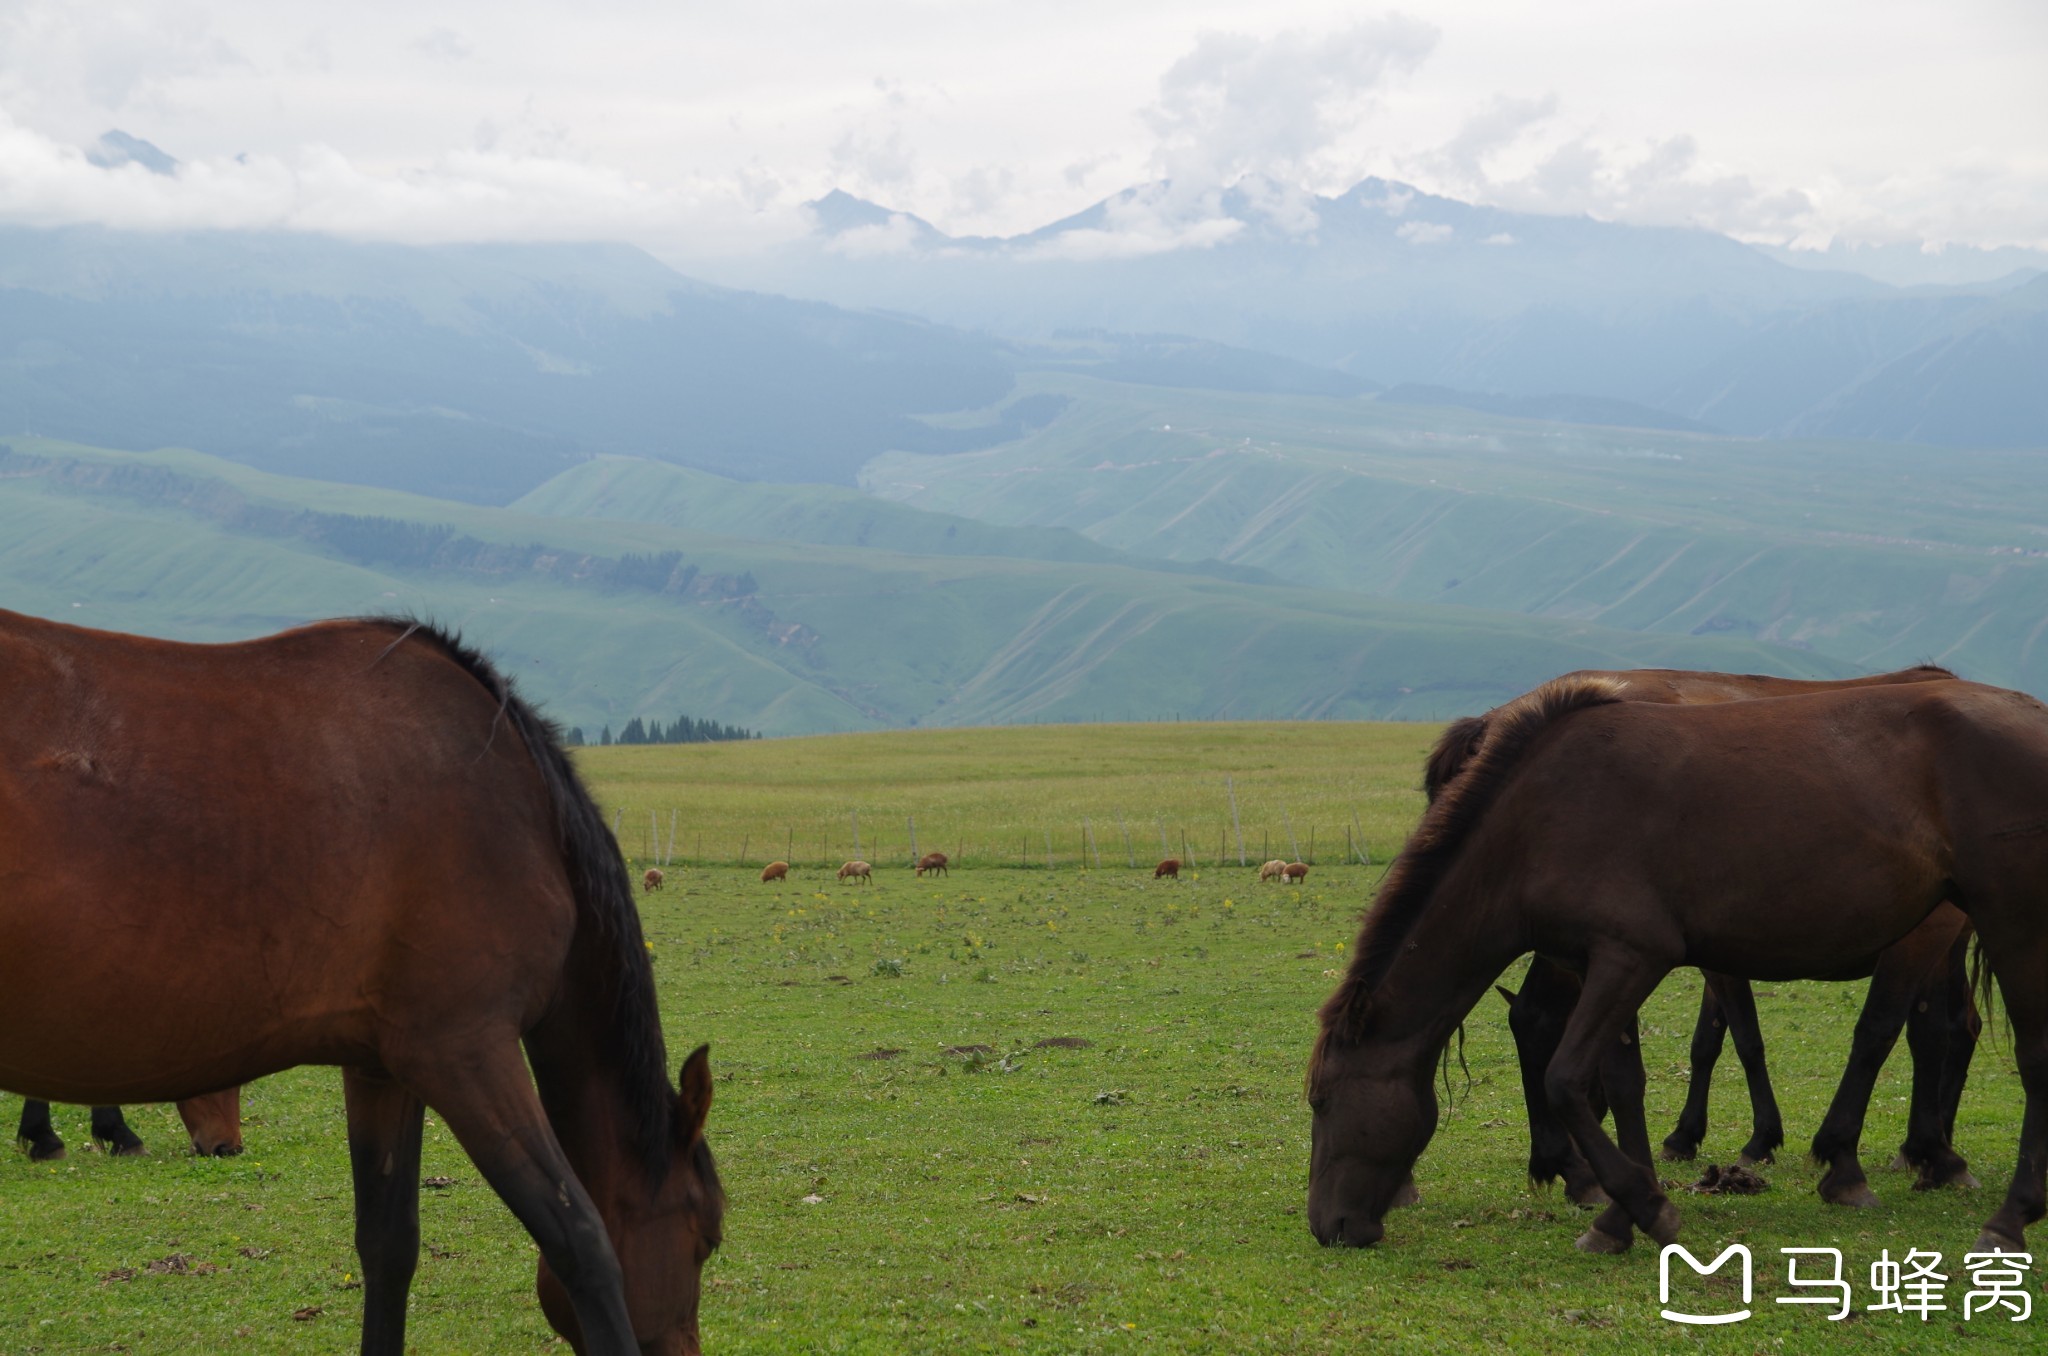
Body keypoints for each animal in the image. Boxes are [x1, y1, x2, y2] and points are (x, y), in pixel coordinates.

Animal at [0, 614, 720, 1356]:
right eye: (707, 1235)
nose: (226, 1147)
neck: (518, 808)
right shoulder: (466, 1053)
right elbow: (582, 1242)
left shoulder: (383, 1068)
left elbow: (388, 1245)